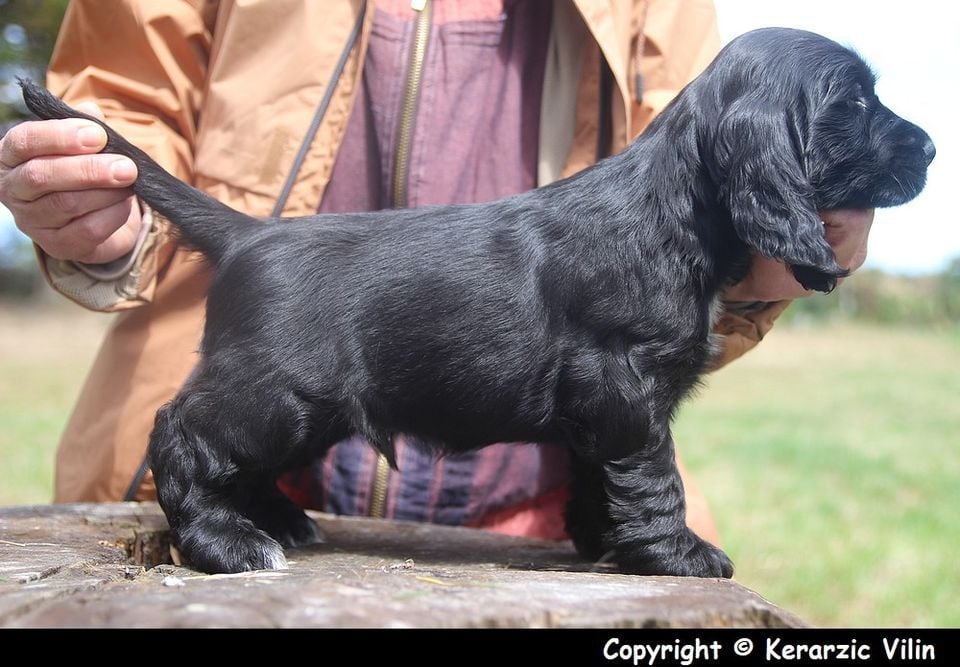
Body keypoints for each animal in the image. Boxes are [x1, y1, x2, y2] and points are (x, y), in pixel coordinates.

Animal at [22, 28, 932, 576]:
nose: (928, 147)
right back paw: (230, 542)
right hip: (275, 390)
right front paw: (678, 553)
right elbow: (653, 478)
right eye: (854, 102)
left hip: (304, 407)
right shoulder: (627, 386)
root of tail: (249, 236)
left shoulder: (600, 407)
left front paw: (604, 542)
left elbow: (600, 476)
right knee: (182, 434)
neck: (669, 208)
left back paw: (276, 521)